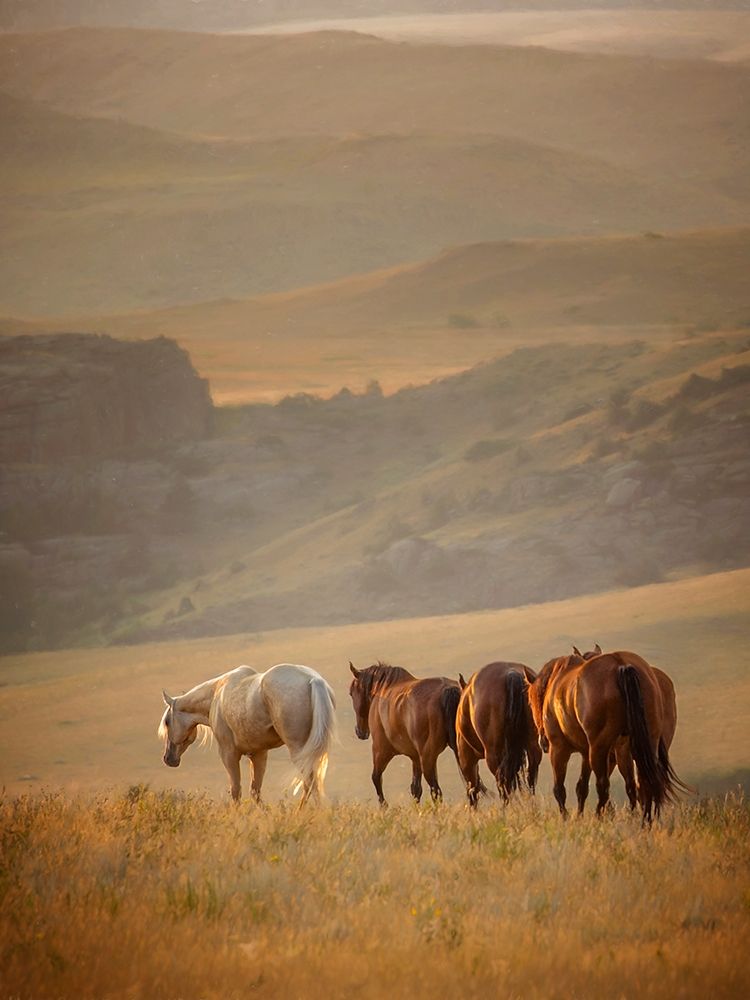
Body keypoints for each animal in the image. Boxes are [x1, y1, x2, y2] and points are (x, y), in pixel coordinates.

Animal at [158, 663, 336, 804]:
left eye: (167, 722)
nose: (168, 758)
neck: (217, 693)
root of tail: (313, 680)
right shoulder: (258, 754)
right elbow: (255, 791)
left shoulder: (228, 754)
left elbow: (236, 790)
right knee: (312, 783)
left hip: (299, 751)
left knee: (309, 783)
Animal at [348, 661, 461, 805]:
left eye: (351, 693)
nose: (360, 732)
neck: (384, 688)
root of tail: (448, 690)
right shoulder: (415, 757)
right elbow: (416, 789)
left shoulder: (380, 751)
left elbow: (376, 778)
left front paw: (384, 806)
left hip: (427, 758)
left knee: (436, 791)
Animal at [455, 661, 542, 807]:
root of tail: (512, 674)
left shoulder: (466, 757)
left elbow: (473, 790)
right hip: (533, 747)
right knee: (530, 778)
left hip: (493, 755)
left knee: (502, 783)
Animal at [528, 650, 684, 823]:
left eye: (531, 701)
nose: (543, 743)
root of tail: (621, 665)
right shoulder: (586, 753)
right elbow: (582, 787)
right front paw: (579, 816)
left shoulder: (560, 749)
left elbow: (559, 789)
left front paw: (566, 818)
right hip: (639, 747)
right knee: (642, 783)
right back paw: (643, 822)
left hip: (599, 749)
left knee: (603, 786)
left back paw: (599, 817)